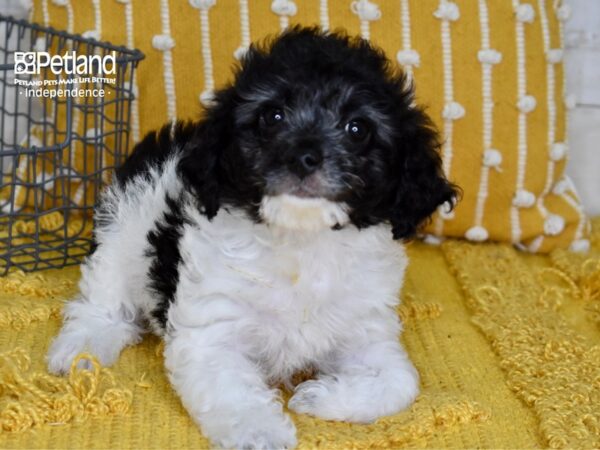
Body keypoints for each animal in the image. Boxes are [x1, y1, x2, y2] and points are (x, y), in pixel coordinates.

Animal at [49, 28, 458, 450]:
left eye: (357, 128)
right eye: (272, 116)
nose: (304, 157)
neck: (302, 241)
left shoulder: (368, 327)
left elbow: (402, 382)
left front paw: (316, 396)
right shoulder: (211, 329)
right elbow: (235, 394)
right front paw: (261, 433)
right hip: (122, 231)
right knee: (103, 300)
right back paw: (81, 348)